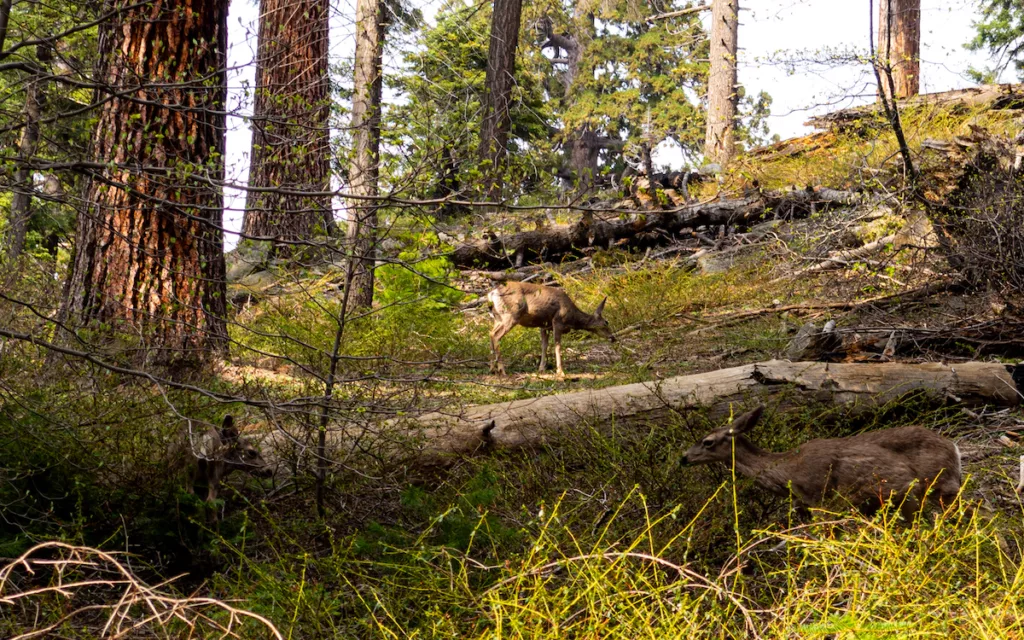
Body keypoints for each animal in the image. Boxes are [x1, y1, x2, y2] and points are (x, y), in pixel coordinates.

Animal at [679, 403, 958, 520]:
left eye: (707, 441)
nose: (683, 458)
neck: (787, 472)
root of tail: (954, 448)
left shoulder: (821, 500)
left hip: (936, 487)